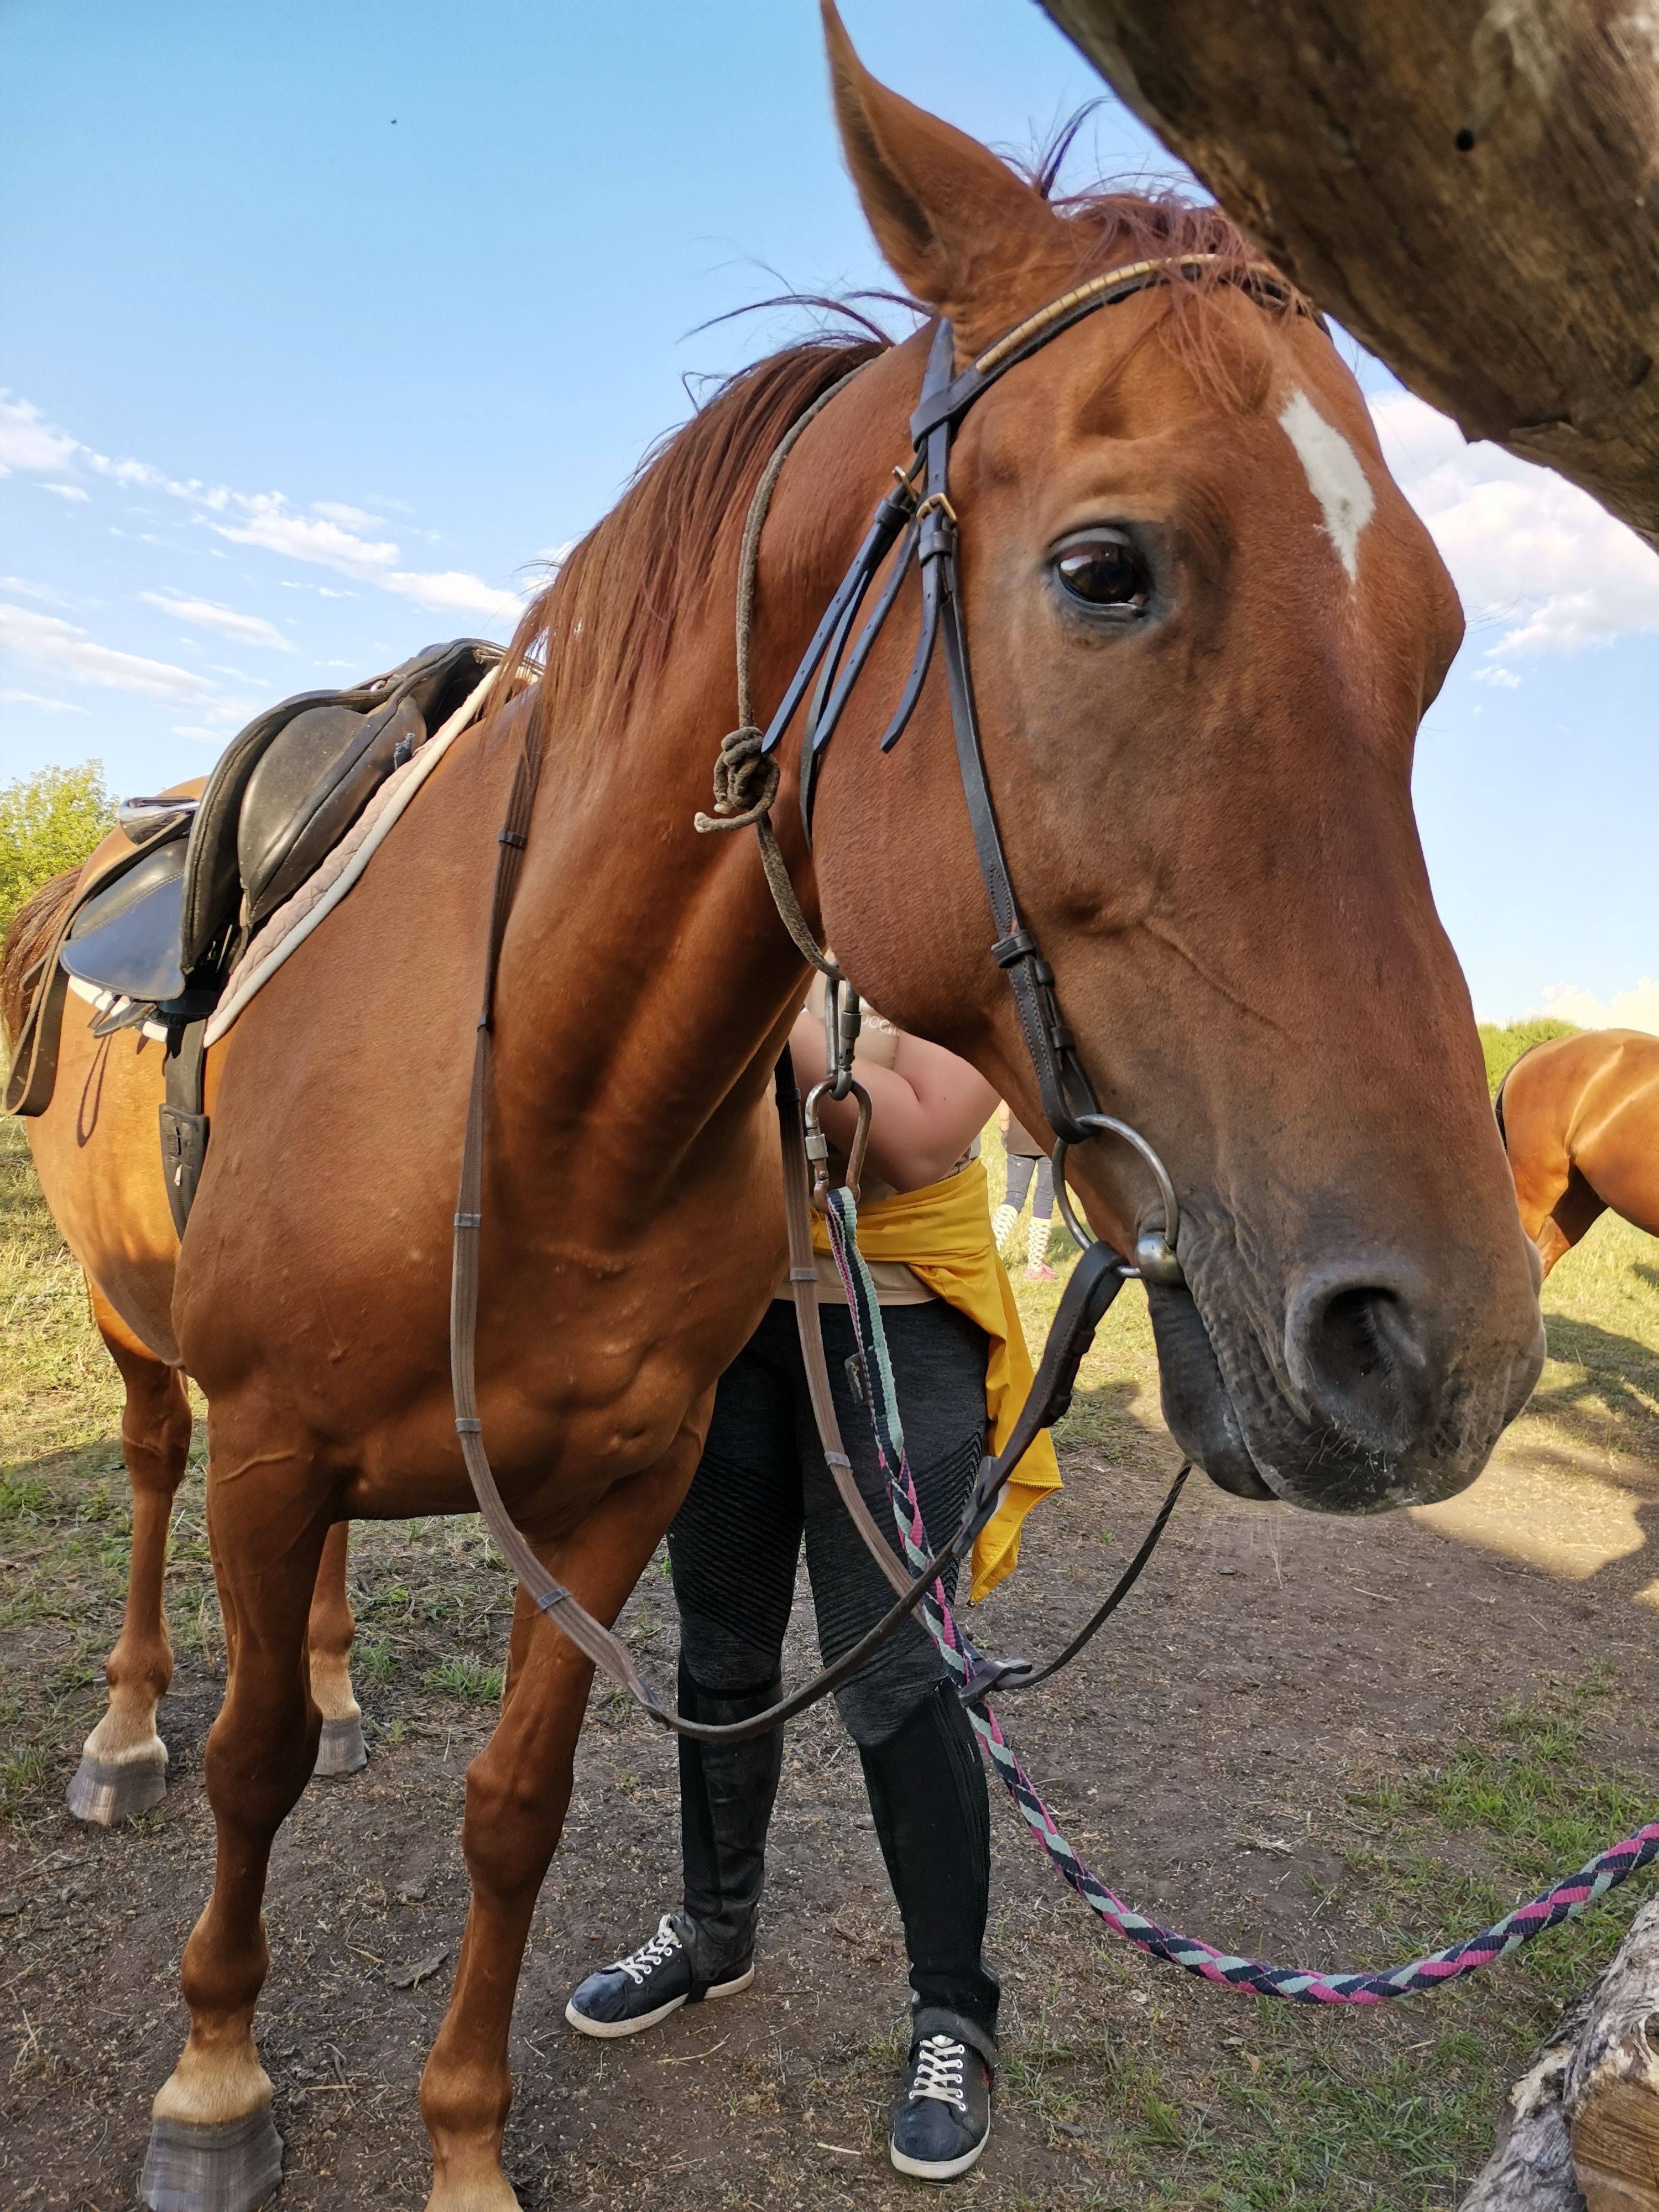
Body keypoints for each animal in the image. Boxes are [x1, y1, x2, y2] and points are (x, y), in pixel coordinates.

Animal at [9, 13, 1548, 2194]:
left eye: (1428, 635)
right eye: (1103, 567)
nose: (1447, 1348)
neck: (536, 1099)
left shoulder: (613, 1488)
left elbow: (517, 1801)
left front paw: (464, 2137)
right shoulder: (275, 1442)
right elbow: (252, 1772)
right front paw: (215, 2076)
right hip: (154, 1351)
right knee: (153, 1493)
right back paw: (122, 1729)